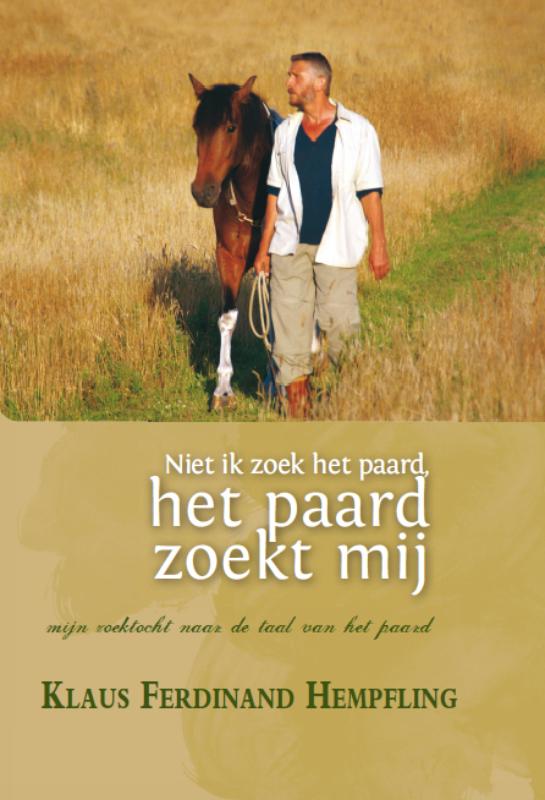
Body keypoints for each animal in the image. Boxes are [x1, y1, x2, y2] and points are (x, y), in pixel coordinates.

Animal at [189, 74, 276, 410]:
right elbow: (228, 319)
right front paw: (223, 390)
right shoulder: (228, 257)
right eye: (196, 128)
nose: (203, 191)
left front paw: (274, 382)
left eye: (231, 126)